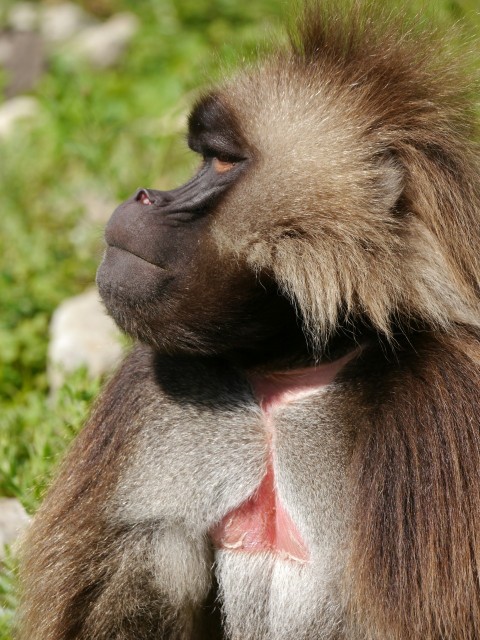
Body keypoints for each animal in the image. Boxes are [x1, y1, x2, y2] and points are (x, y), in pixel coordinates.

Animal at [16, 1, 480, 640]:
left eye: (221, 160)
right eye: (203, 156)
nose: (143, 197)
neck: (285, 370)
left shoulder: (439, 414)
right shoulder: (161, 388)